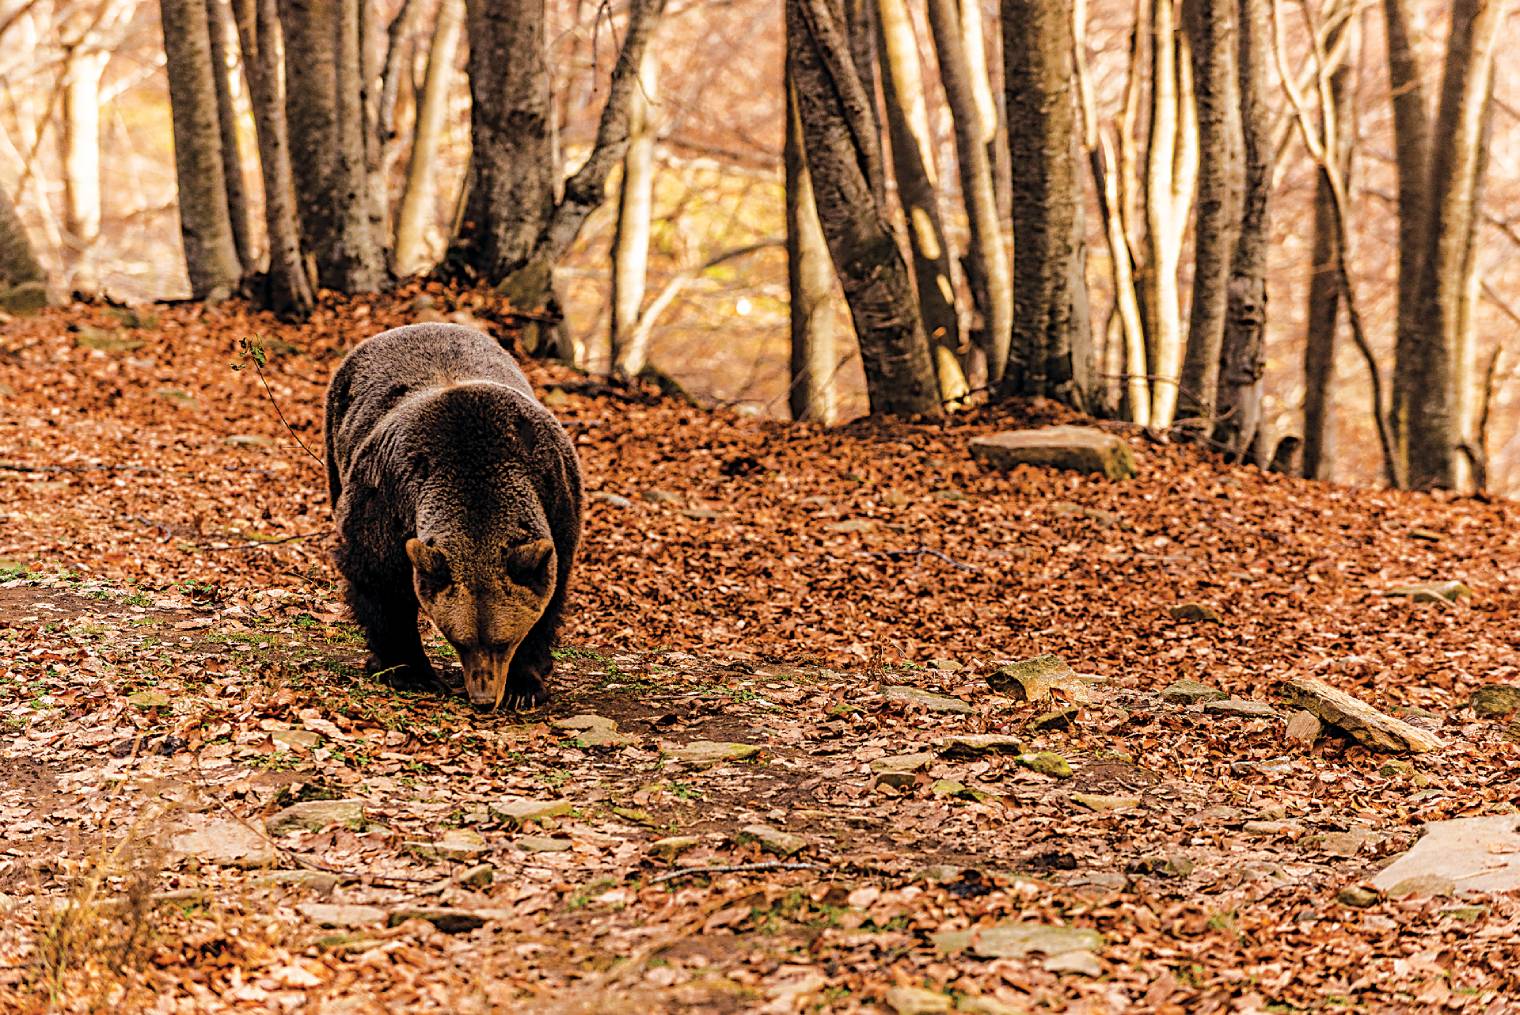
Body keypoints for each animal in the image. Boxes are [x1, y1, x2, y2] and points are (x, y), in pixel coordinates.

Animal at [325, 323, 580, 705]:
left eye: (504, 641)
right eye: (459, 640)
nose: (484, 698)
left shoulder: (554, 493)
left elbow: (550, 592)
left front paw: (524, 684)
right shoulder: (387, 499)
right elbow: (380, 583)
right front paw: (411, 672)